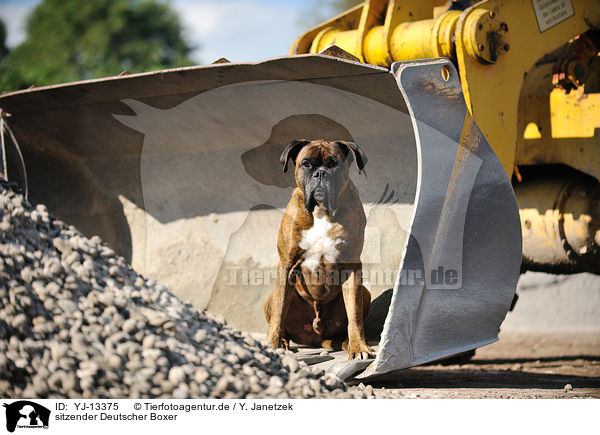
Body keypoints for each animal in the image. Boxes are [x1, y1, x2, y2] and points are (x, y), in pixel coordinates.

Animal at [264, 141, 372, 362]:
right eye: (306, 164)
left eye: (334, 164)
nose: (320, 173)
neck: (321, 211)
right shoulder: (287, 264)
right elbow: (279, 313)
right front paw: (272, 344)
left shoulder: (351, 267)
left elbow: (354, 314)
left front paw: (359, 347)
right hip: (270, 299)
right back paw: (283, 342)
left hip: (365, 294)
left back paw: (346, 342)